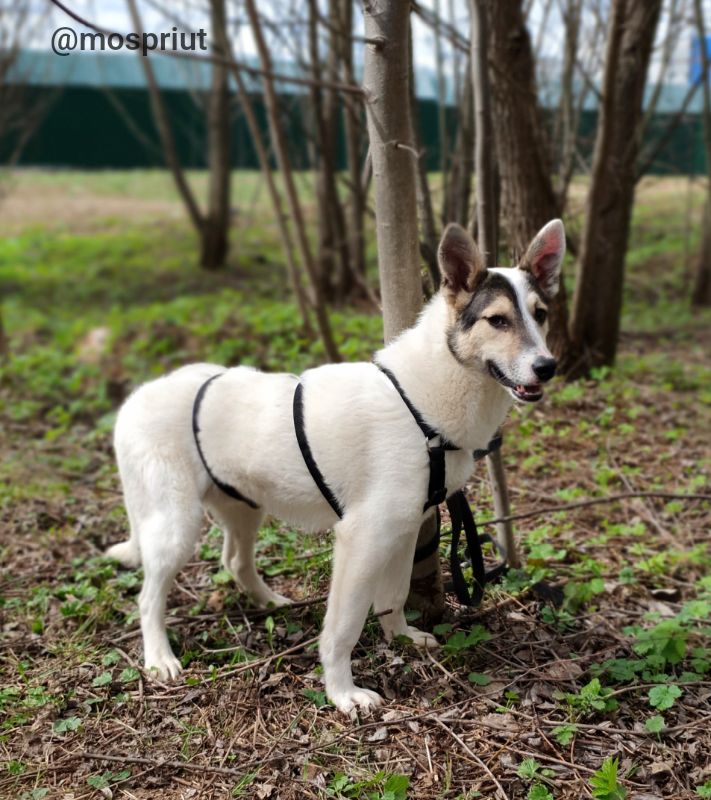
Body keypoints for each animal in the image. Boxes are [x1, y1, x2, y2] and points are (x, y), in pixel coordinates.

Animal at [105, 217, 564, 712]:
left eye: (540, 314)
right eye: (497, 320)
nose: (547, 366)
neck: (420, 402)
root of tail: (138, 396)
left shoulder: (404, 530)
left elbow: (392, 596)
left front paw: (401, 637)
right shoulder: (361, 539)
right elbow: (344, 628)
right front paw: (342, 691)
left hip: (245, 508)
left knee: (236, 562)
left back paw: (271, 603)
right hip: (176, 527)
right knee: (148, 599)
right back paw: (160, 658)